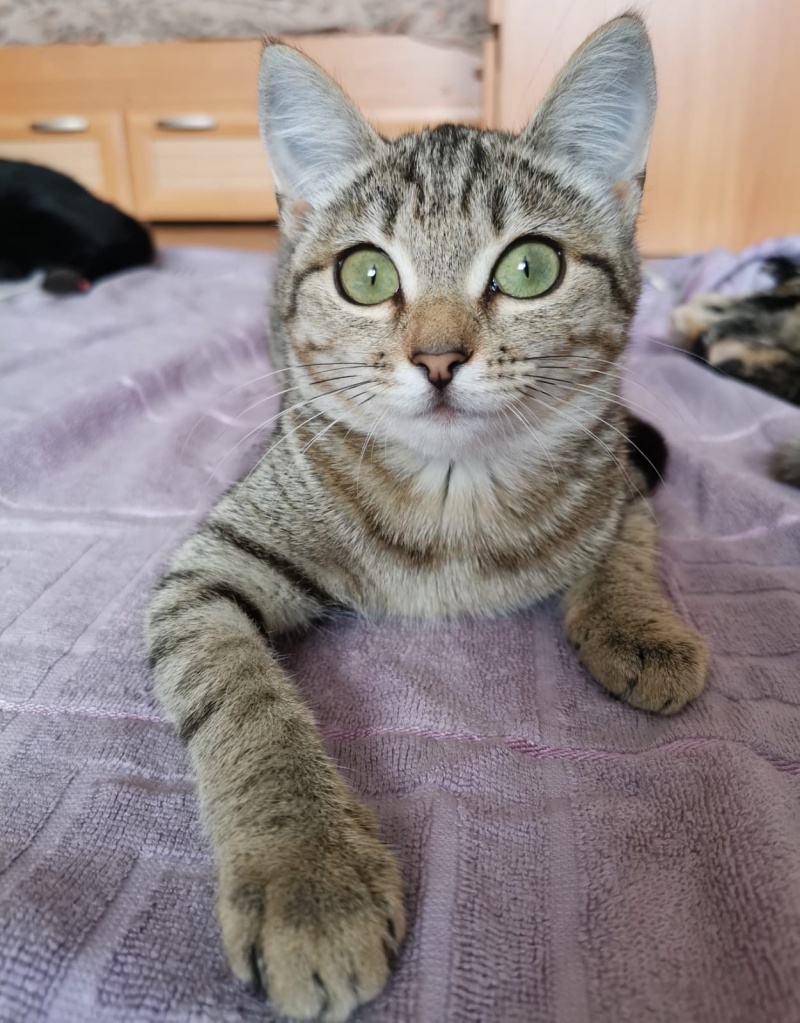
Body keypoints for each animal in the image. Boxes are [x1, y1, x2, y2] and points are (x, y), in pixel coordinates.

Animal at [147, 16, 709, 1022]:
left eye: (530, 266)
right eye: (368, 275)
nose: (439, 356)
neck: (458, 496)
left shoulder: (619, 462)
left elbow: (627, 544)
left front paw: (642, 626)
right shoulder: (208, 568)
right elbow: (243, 698)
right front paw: (310, 872)